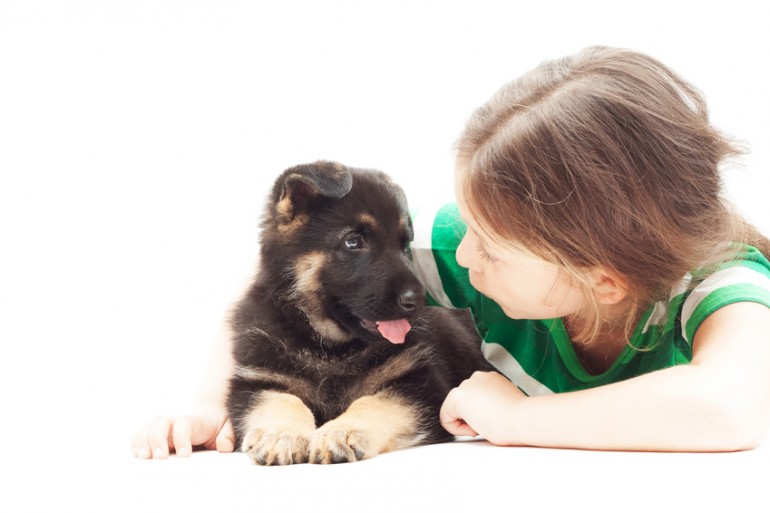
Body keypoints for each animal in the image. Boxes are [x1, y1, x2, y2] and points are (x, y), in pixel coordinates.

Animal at [225, 161, 486, 464]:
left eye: (404, 245)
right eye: (353, 242)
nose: (418, 299)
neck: (330, 347)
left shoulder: (422, 387)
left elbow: (375, 402)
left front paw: (342, 431)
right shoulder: (255, 383)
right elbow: (281, 400)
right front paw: (281, 434)